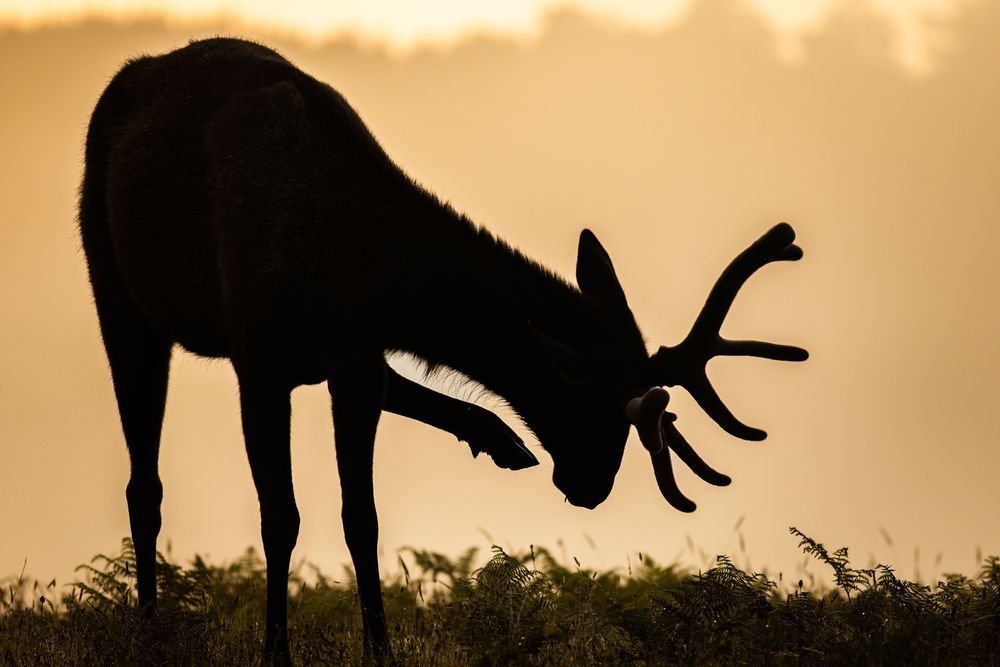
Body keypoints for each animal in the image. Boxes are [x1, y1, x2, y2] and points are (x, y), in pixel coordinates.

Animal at [78, 37, 807, 662]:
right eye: (587, 403)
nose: (591, 487)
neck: (355, 278)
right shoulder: (259, 360)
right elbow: (280, 518)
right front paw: (274, 654)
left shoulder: (354, 364)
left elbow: (362, 517)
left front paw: (381, 650)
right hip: (115, 289)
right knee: (143, 485)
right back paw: (147, 632)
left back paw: (496, 435)